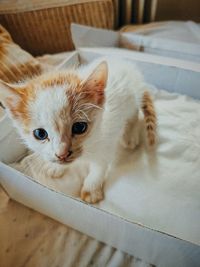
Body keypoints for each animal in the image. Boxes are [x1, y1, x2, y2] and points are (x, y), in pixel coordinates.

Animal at [0, 58, 156, 204]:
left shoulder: (107, 139)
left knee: (134, 113)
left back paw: (130, 135)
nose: (62, 154)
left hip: (132, 98)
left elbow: (100, 165)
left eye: (79, 127)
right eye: (40, 134)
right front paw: (55, 167)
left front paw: (91, 188)